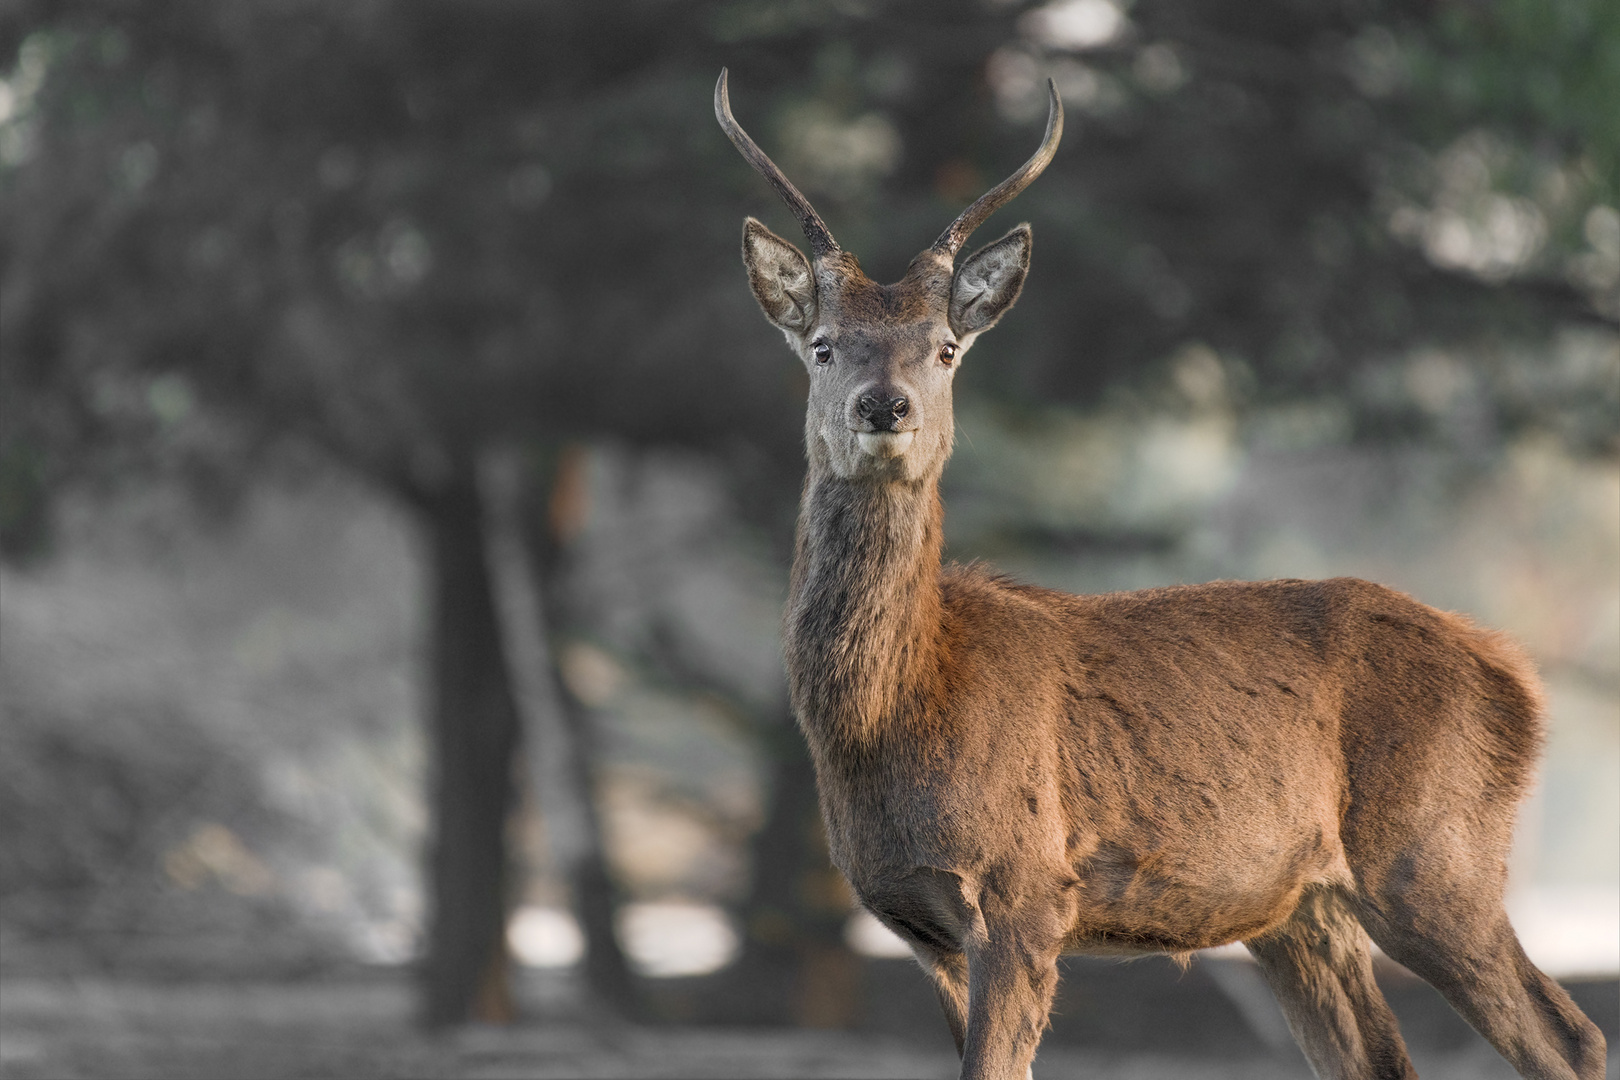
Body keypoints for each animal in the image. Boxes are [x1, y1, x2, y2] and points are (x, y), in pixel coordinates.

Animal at [712, 69, 1607, 1080]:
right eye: (824, 343)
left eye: (944, 348)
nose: (885, 405)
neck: (894, 716)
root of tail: (1518, 681)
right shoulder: (920, 928)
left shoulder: (1027, 890)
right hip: (1302, 910)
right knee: (1385, 1058)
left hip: (1435, 855)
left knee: (1569, 1035)